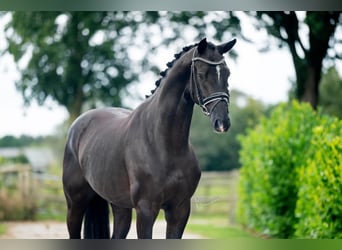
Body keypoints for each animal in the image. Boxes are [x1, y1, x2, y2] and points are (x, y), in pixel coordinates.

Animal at [62, 38, 236, 239]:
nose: (222, 122)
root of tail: (78, 125)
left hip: (119, 206)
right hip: (75, 204)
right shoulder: (146, 209)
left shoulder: (180, 209)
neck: (164, 144)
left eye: (227, 74)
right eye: (201, 74)